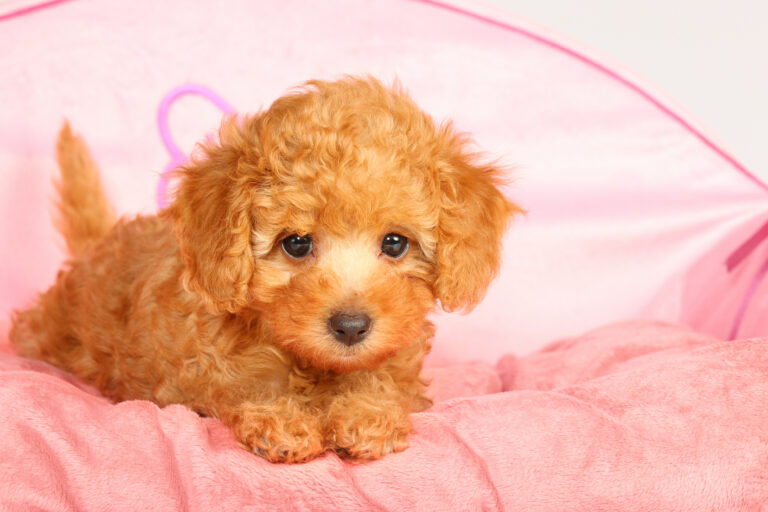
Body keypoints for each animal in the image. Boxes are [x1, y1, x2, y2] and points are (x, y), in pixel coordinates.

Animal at [10, 77, 516, 464]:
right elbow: (248, 386)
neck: (314, 364)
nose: (351, 327)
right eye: (296, 244)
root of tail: (97, 246)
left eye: (395, 243)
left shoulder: (398, 356)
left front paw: (367, 415)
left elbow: (383, 377)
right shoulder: (205, 367)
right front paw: (284, 422)